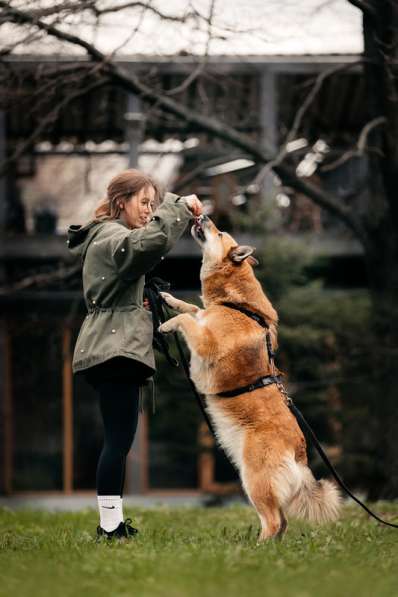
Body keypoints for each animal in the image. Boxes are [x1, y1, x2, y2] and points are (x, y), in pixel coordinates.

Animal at [159, 215, 338, 540]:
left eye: (219, 232)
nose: (203, 216)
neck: (235, 303)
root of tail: (300, 454)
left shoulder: (205, 343)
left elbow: (187, 319)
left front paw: (167, 323)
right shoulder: (205, 317)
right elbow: (193, 308)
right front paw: (168, 298)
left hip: (254, 479)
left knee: (274, 521)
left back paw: (256, 547)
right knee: (282, 522)